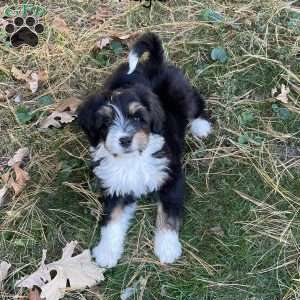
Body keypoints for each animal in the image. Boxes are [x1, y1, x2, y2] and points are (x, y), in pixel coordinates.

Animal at [78, 32, 212, 268]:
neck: (134, 158)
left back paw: (201, 126)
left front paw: (167, 248)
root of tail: (154, 62)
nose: (124, 139)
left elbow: (168, 213)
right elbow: (111, 219)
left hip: (182, 92)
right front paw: (106, 252)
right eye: (105, 122)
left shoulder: (171, 176)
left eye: (138, 117)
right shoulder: (116, 186)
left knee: (195, 102)